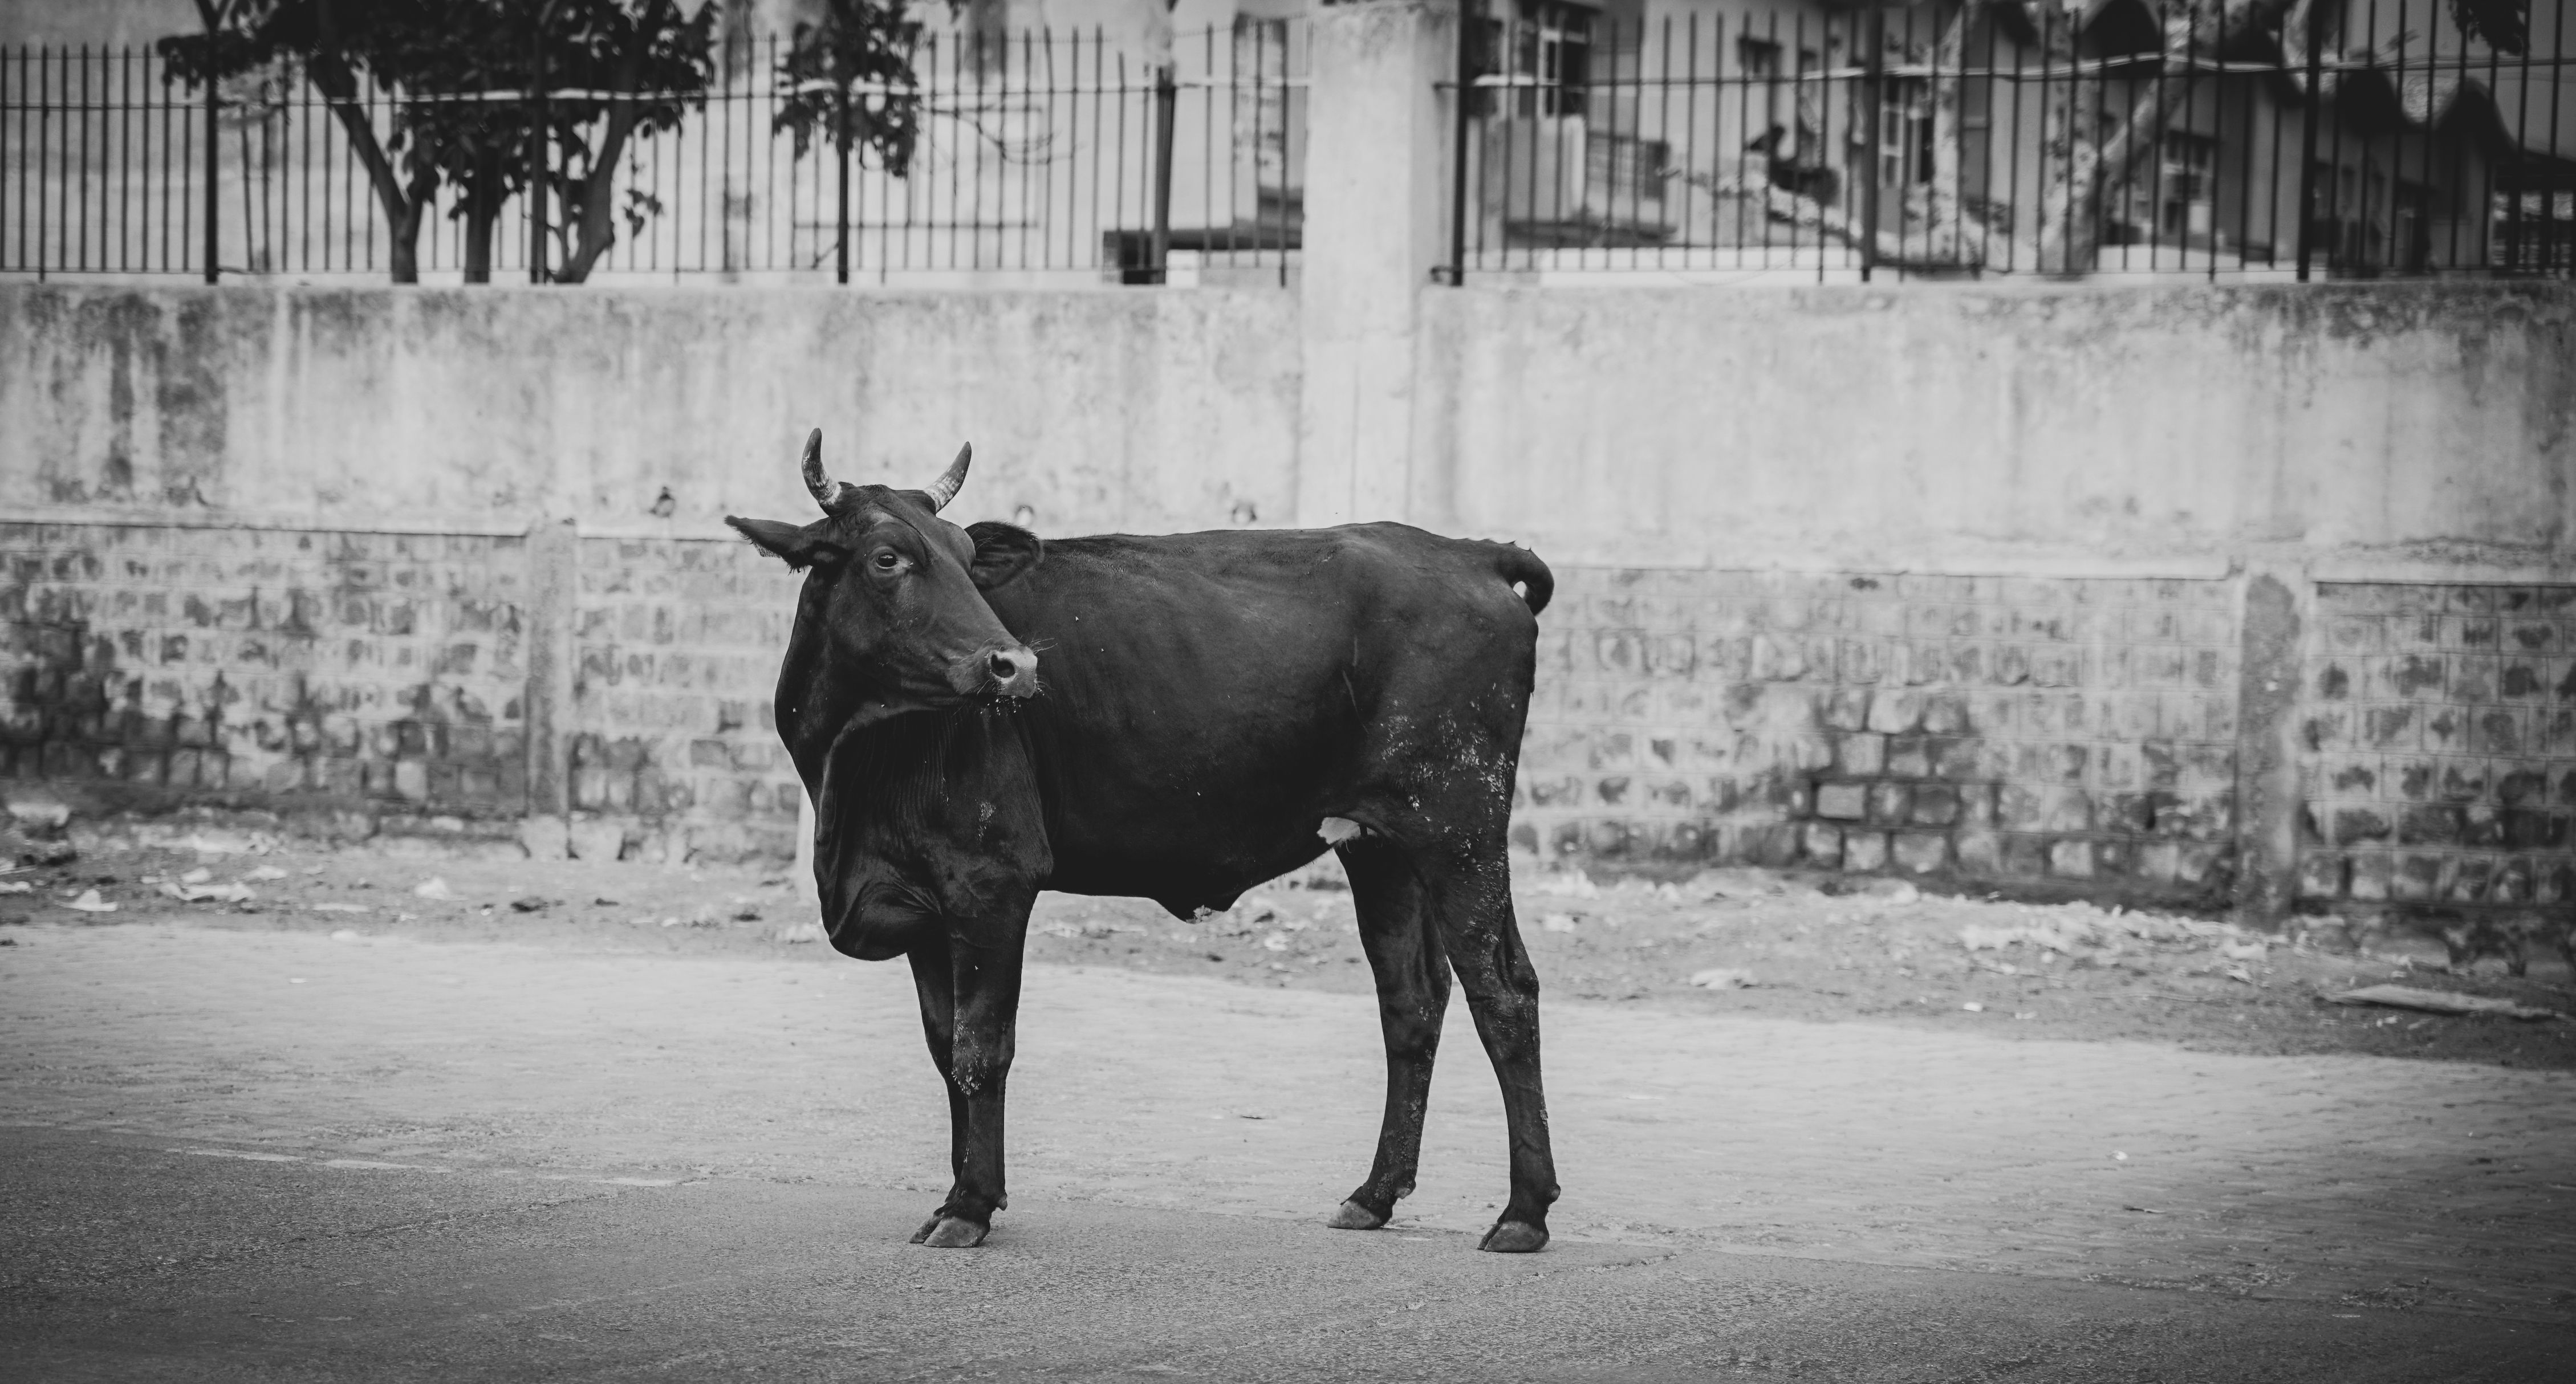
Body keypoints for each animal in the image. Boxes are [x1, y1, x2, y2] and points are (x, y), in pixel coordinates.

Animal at [726, 431, 1560, 1253]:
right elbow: (943, 1046)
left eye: (966, 557)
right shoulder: (927, 906)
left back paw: (1523, 1210)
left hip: (1460, 828)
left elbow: (980, 1047)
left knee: (1504, 994)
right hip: (1381, 848)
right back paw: (1375, 1194)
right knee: (1411, 1003)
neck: (854, 764)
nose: (1014, 665)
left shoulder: (992, 883)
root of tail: (1469, 553)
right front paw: (962, 1193)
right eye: (886, 558)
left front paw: (970, 1204)